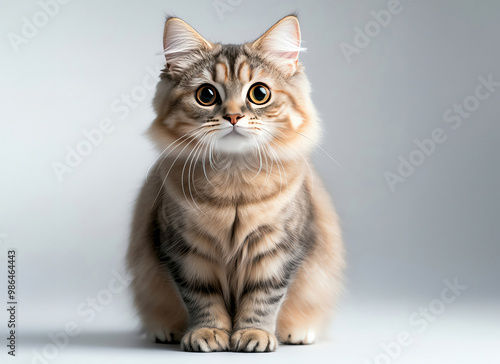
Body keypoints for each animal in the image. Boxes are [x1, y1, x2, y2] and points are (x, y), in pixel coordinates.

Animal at [126, 14, 344, 352]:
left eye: (259, 94)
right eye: (206, 95)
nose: (232, 117)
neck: (234, 180)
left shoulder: (278, 249)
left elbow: (262, 298)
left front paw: (254, 334)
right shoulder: (186, 249)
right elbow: (202, 298)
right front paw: (207, 333)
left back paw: (298, 332)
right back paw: (165, 331)